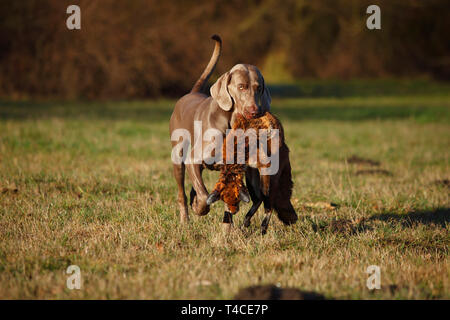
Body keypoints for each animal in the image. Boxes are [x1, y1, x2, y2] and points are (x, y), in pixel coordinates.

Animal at [170, 35, 270, 225]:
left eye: (258, 88)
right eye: (241, 86)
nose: (254, 112)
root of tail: (191, 93)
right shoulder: (193, 159)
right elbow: (203, 196)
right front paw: (199, 208)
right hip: (178, 157)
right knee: (182, 193)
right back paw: (185, 219)